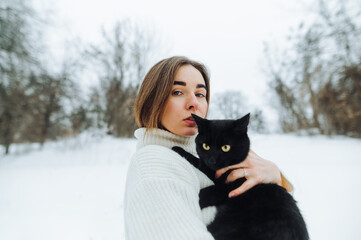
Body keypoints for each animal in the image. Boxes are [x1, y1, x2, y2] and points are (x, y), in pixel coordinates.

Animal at [172, 113, 306, 240]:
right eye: (206, 146)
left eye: (226, 147)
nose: (212, 160)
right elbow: (200, 162)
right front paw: (178, 148)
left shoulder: (229, 186)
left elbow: (207, 185)